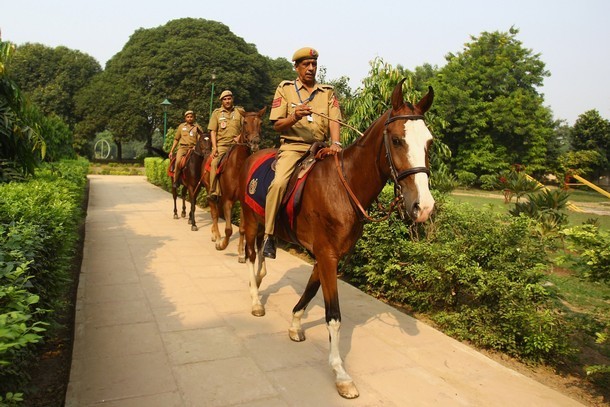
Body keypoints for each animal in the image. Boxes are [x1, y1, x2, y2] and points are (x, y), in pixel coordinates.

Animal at [203, 108, 264, 260]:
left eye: (260, 122)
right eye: (245, 122)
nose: (255, 142)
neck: (238, 166)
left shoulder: (242, 202)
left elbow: (242, 229)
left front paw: (241, 253)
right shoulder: (228, 200)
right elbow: (229, 229)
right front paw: (222, 244)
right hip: (209, 190)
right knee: (214, 213)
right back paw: (217, 236)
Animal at [238, 81, 432, 400]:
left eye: (429, 142)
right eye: (396, 140)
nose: (423, 206)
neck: (345, 187)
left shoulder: (329, 255)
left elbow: (310, 290)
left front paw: (295, 323)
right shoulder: (327, 254)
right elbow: (334, 316)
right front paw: (341, 373)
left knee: (262, 251)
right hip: (251, 219)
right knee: (251, 252)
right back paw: (255, 297)